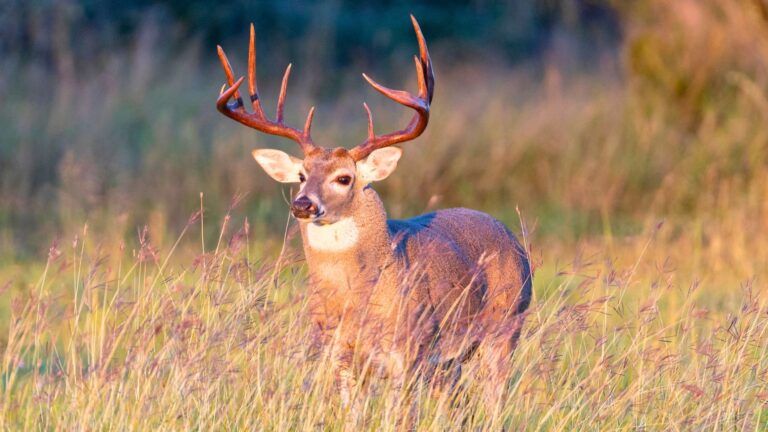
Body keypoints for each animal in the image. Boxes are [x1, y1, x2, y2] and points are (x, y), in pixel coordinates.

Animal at [215, 15, 532, 421]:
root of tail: (513, 240)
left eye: (344, 178)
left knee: (495, 402)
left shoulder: (408, 352)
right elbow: (353, 416)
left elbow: (400, 418)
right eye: (301, 175)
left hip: (506, 326)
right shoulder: (340, 357)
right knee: (460, 403)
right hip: (450, 362)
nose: (302, 205)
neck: (356, 300)